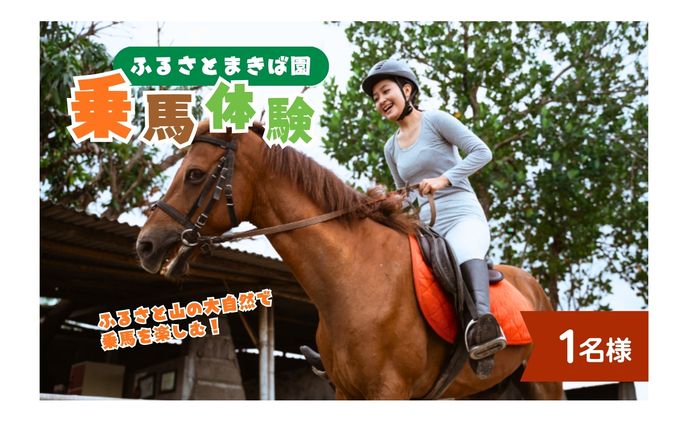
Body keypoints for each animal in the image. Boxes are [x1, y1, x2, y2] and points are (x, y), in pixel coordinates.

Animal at [136, 121, 563, 400]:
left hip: (544, 387)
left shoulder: (389, 391)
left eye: (194, 174)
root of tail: (535, 289)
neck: (355, 277)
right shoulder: (346, 391)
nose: (146, 245)